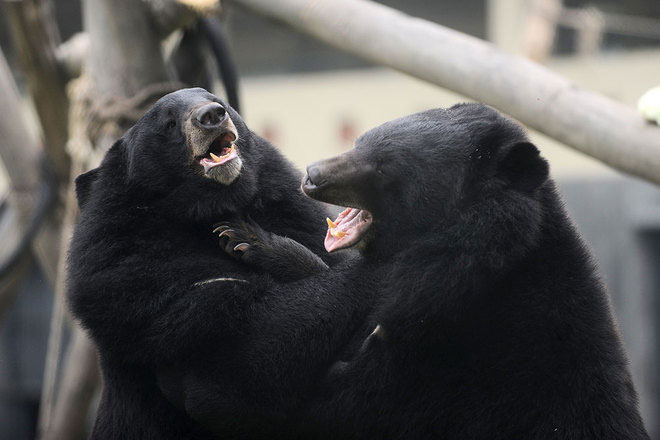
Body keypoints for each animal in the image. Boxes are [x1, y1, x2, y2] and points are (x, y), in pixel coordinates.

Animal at [66, 88, 380, 439]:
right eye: (170, 124)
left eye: (216, 100)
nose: (212, 115)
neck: (205, 209)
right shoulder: (136, 283)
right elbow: (231, 373)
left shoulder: (290, 210)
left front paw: (249, 239)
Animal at [226, 103, 650, 439]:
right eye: (361, 140)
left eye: (385, 167)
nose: (312, 175)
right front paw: (256, 242)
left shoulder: (436, 370)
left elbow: (322, 402)